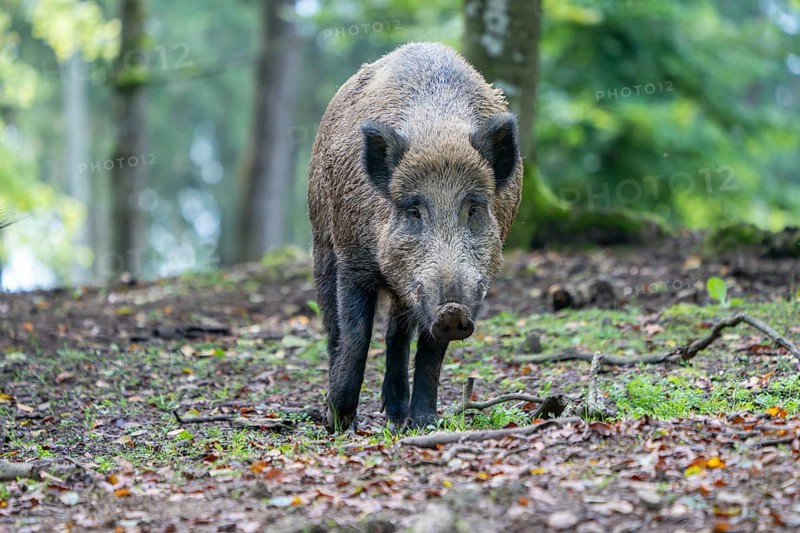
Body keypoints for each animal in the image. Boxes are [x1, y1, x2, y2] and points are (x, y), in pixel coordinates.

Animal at [307, 42, 522, 432]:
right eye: (413, 210)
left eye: (473, 207)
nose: (452, 310)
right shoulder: (353, 259)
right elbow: (356, 335)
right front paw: (339, 423)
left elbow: (430, 350)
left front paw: (423, 423)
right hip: (321, 239)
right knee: (333, 328)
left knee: (397, 332)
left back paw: (396, 415)